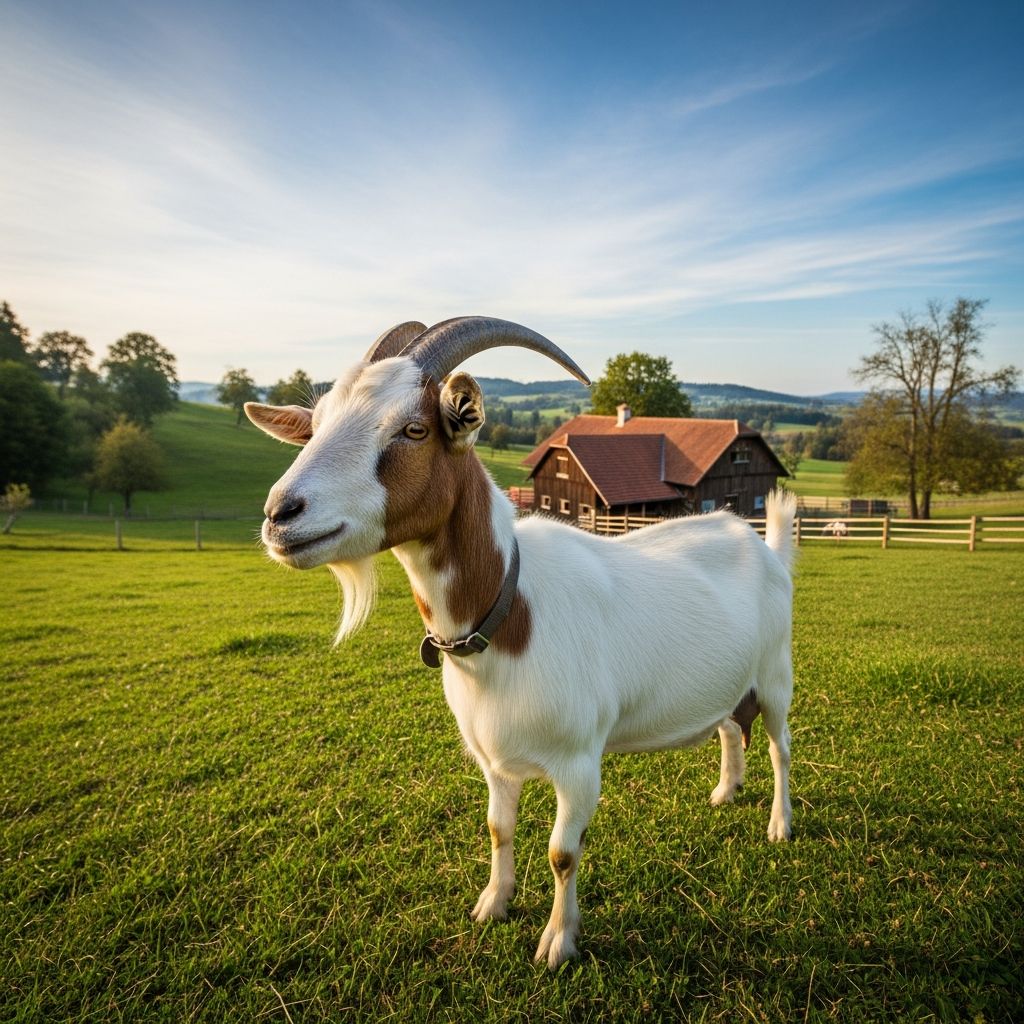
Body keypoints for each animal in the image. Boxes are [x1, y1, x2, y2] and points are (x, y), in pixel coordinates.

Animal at [245, 317, 797, 969]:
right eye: (317, 423)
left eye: (414, 428)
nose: (281, 515)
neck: (508, 612)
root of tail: (759, 539)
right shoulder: (494, 762)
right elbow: (497, 829)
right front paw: (493, 904)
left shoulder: (580, 763)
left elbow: (563, 853)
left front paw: (558, 942)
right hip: (731, 681)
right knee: (731, 727)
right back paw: (726, 792)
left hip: (777, 674)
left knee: (779, 747)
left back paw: (780, 824)